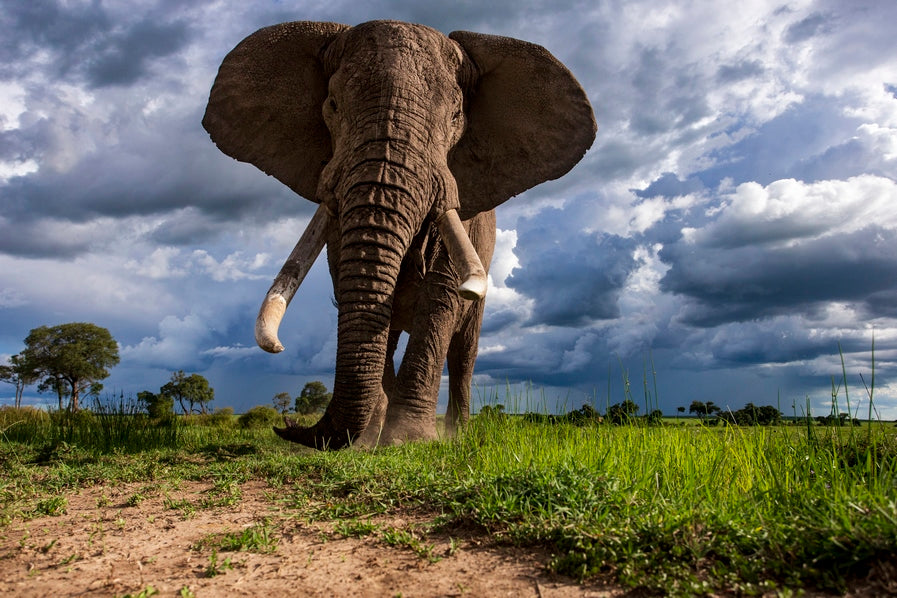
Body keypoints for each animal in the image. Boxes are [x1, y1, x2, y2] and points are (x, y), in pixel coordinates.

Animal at [202, 20, 596, 449]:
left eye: (456, 116)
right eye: (332, 106)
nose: (288, 424)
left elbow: (442, 298)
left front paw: (410, 441)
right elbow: (359, 290)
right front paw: (372, 442)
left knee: (464, 351)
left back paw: (457, 433)